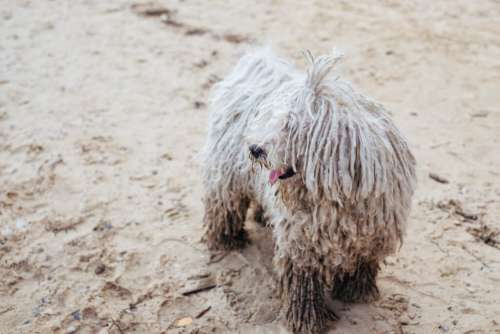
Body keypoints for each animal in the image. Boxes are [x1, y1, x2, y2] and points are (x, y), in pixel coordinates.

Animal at [201, 48, 416, 332]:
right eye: (273, 121)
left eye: (290, 128)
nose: (255, 149)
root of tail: (257, 60)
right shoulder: (302, 240)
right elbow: (304, 282)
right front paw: (308, 320)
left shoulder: (374, 234)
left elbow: (363, 263)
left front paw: (357, 292)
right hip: (226, 176)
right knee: (224, 205)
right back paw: (227, 239)